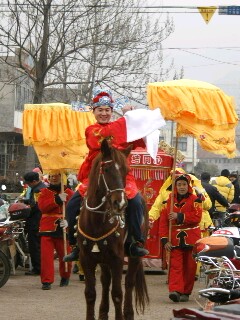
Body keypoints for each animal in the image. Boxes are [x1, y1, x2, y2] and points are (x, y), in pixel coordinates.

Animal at [77, 139, 148, 320]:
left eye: (126, 171)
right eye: (107, 169)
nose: (120, 203)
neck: (96, 222)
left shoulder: (117, 258)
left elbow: (117, 293)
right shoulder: (86, 258)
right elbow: (90, 293)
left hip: (133, 255)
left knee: (129, 282)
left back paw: (128, 313)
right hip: (103, 259)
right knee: (105, 281)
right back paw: (103, 312)